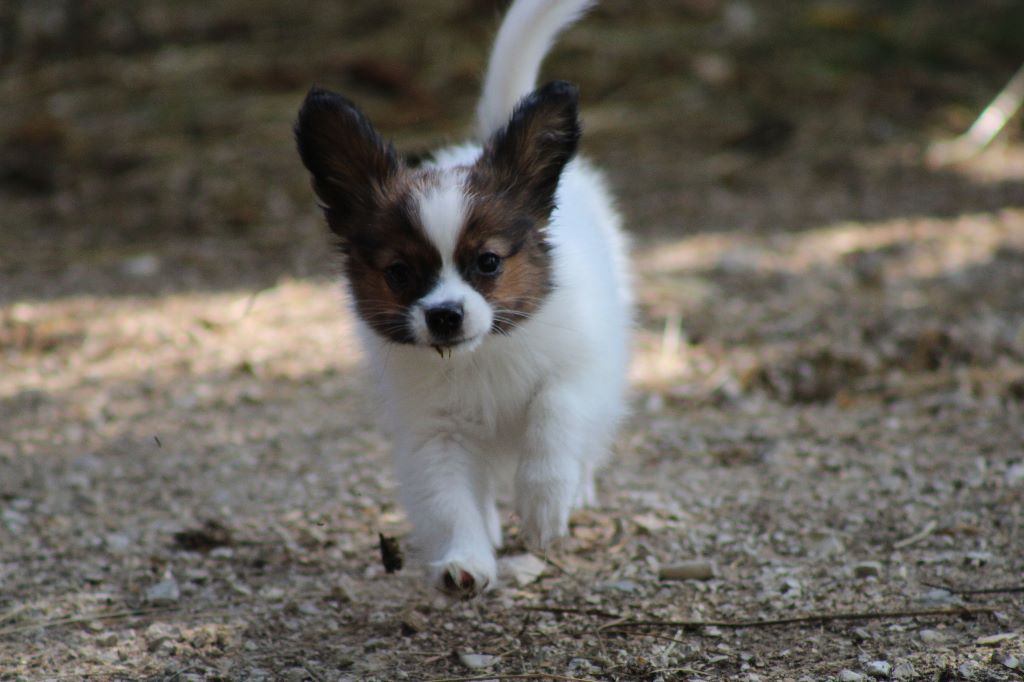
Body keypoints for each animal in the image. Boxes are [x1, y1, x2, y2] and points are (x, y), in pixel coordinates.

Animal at [296, 0, 626, 593]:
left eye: (488, 262)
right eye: (400, 273)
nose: (446, 315)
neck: (481, 357)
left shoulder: (580, 371)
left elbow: (554, 417)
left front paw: (544, 503)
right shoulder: (435, 433)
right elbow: (449, 501)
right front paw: (465, 560)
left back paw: (575, 491)